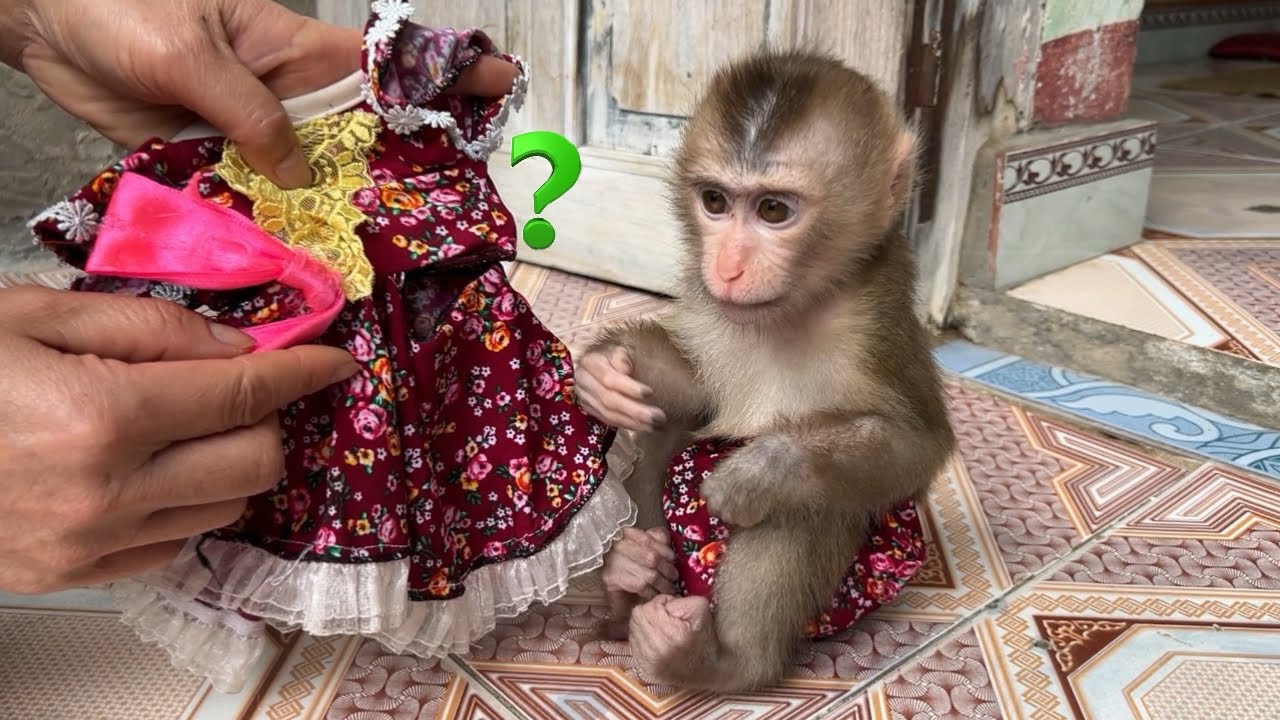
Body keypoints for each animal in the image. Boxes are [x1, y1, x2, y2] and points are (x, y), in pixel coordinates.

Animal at [574, 49, 956, 692]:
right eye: (715, 202)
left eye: (773, 210)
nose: (727, 268)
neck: (796, 307)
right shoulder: (708, 306)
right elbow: (693, 395)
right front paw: (604, 371)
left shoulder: (876, 323)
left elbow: (915, 447)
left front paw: (762, 470)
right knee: (666, 433)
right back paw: (632, 581)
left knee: (812, 506)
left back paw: (721, 660)